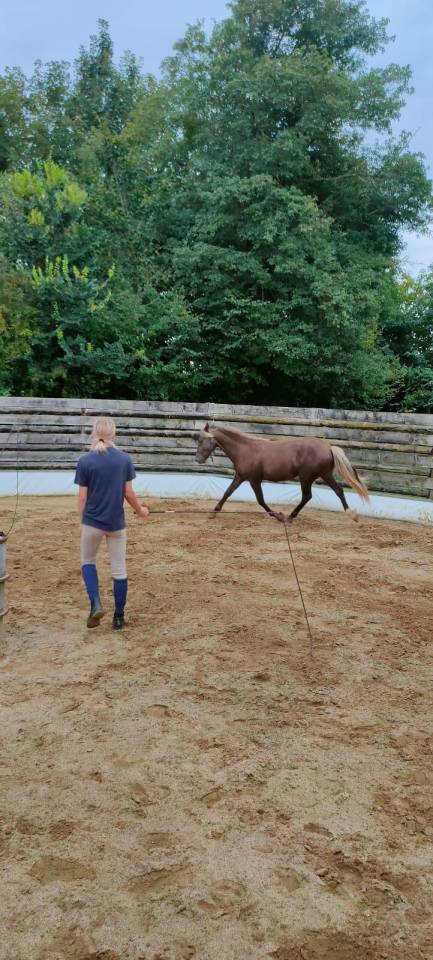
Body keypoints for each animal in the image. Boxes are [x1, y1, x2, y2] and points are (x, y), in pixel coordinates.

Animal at [195, 423, 369, 522]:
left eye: (202, 440)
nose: (197, 459)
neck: (245, 450)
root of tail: (328, 447)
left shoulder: (254, 480)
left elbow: (261, 500)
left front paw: (278, 516)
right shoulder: (240, 477)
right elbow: (227, 492)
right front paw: (213, 513)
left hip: (306, 476)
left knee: (307, 496)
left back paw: (290, 516)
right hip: (324, 475)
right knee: (338, 490)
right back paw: (352, 515)